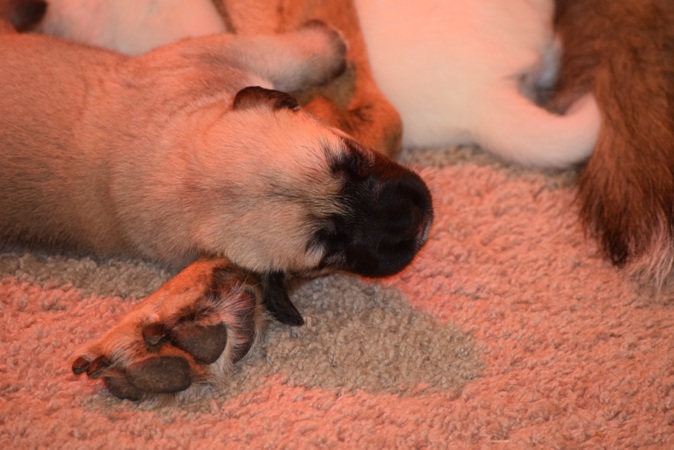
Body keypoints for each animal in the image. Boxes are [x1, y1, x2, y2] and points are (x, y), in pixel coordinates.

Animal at [0, 0, 433, 401]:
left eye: (353, 161)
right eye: (330, 247)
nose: (417, 218)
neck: (179, 162)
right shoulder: (220, 51)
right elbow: (294, 52)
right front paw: (329, 40)